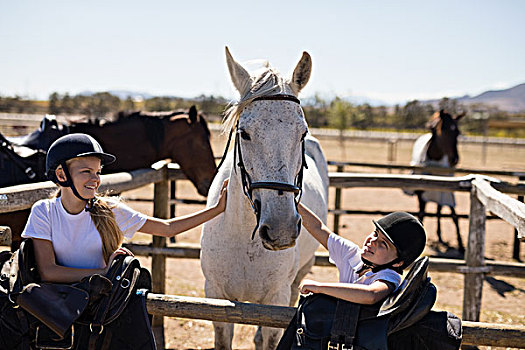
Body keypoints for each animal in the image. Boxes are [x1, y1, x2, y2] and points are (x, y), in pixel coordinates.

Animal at [408, 108, 464, 252]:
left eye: (457, 132)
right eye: (443, 130)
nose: (454, 159)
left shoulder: (447, 192)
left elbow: (454, 216)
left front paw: (461, 244)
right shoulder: (421, 194)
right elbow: (421, 214)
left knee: (439, 210)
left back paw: (440, 237)